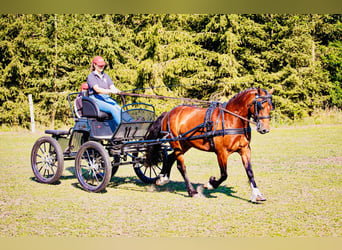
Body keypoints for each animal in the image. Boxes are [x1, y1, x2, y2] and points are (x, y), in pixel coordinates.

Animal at [146, 87, 274, 202]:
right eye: (260, 105)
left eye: (270, 106)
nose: (265, 129)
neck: (231, 119)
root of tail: (168, 113)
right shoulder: (221, 152)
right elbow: (224, 174)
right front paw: (211, 183)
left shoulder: (245, 149)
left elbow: (250, 172)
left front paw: (257, 194)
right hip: (176, 143)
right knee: (181, 166)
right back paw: (192, 191)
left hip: (185, 144)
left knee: (170, 158)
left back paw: (162, 178)